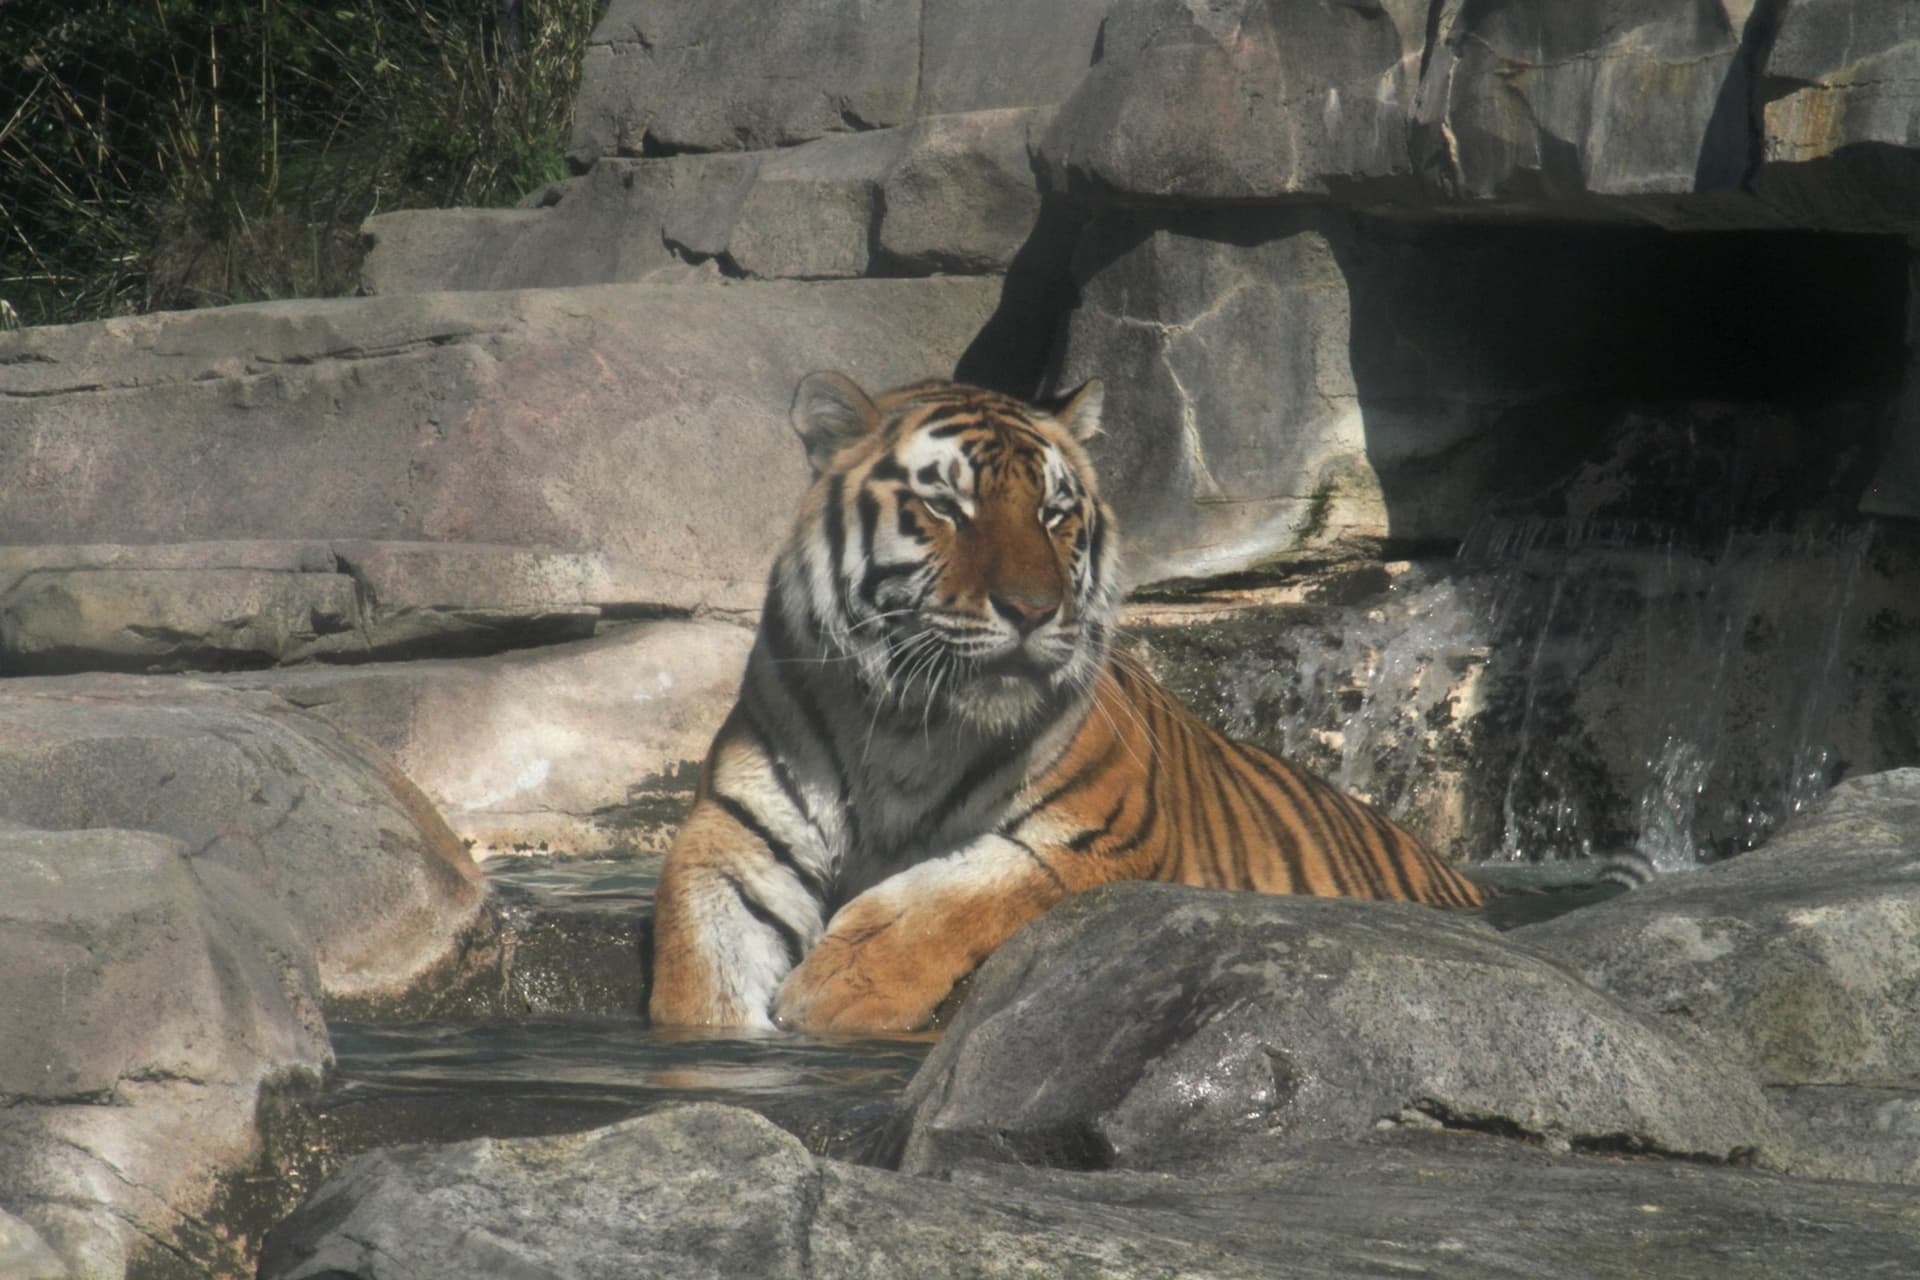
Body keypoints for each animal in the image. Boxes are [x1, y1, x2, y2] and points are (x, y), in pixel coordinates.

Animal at [648, 372, 1483, 1033]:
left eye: (1054, 514)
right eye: (946, 506)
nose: (1031, 609)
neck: (907, 725)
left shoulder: (1099, 838)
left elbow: (951, 895)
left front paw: (836, 991)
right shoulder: (737, 833)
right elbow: (702, 956)